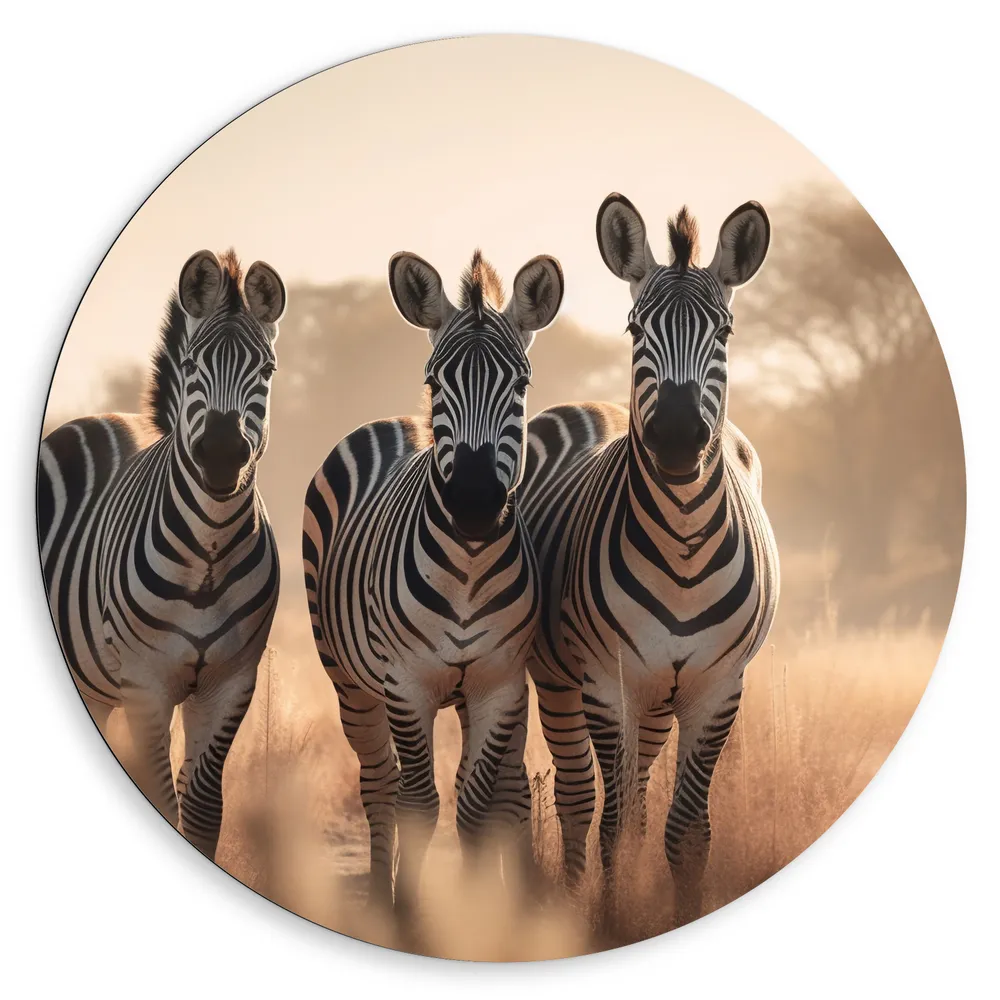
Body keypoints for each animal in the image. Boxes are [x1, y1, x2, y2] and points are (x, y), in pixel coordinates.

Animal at [37, 249, 286, 859]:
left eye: (266, 372)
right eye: (193, 367)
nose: (220, 456)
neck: (210, 555)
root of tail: (103, 417)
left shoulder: (229, 685)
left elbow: (201, 810)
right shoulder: (146, 685)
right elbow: (160, 797)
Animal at [303, 249, 563, 912]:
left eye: (520, 386)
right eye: (434, 383)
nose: (472, 504)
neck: (467, 567)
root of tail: (395, 423)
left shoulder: (500, 683)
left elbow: (476, 807)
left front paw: (474, 911)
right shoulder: (406, 682)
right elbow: (419, 804)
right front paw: (410, 914)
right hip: (349, 680)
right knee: (379, 784)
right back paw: (378, 894)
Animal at [521, 195, 779, 924]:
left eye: (724, 332)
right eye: (636, 330)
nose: (677, 438)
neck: (683, 545)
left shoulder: (717, 688)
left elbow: (687, 832)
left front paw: (682, 912)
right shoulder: (607, 683)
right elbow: (611, 823)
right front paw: (609, 920)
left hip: (661, 698)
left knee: (634, 800)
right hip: (563, 682)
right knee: (580, 802)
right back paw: (572, 896)